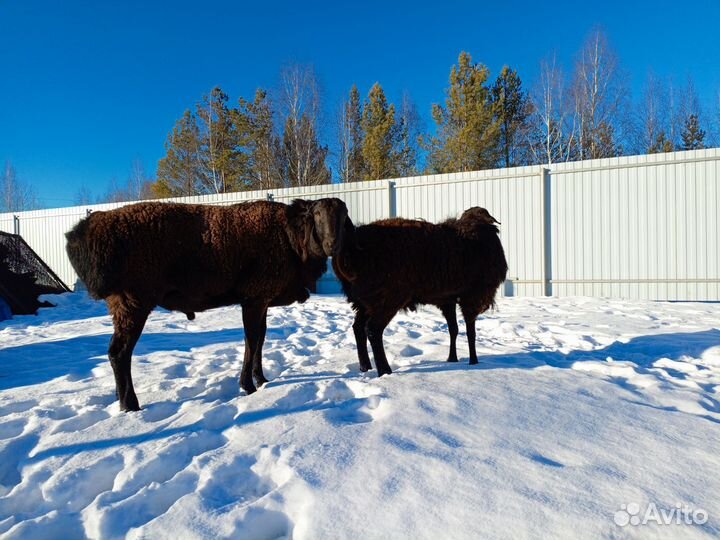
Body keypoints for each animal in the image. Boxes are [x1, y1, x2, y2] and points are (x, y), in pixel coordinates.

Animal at [67, 196, 348, 412]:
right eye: (317, 214)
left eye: (343, 215)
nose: (333, 244)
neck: (289, 237)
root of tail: (86, 230)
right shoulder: (254, 298)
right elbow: (251, 340)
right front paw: (248, 385)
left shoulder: (263, 300)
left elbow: (260, 339)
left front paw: (261, 378)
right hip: (132, 303)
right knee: (119, 353)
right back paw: (130, 405)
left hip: (123, 305)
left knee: (116, 354)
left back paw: (120, 397)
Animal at [332, 207, 506, 376]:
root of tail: (351, 250)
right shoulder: (473, 297)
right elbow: (471, 332)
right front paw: (473, 361)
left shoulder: (447, 299)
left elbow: (453, 329)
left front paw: (452, 359)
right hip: (387, 297)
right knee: (373, 330)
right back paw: (384, 371)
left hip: (365, 301)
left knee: (358, 328)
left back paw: (365, 367)